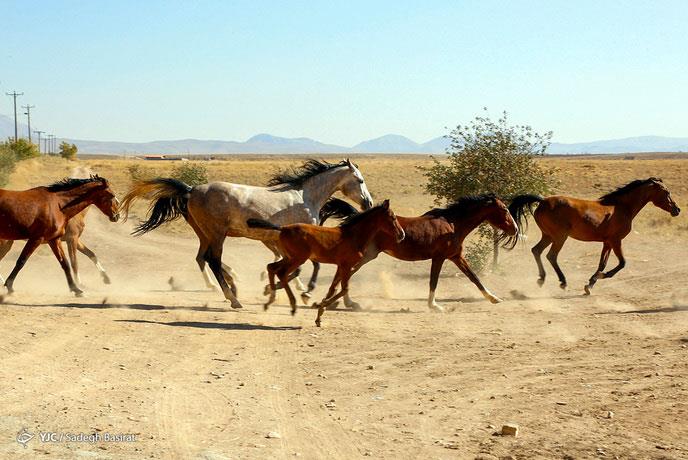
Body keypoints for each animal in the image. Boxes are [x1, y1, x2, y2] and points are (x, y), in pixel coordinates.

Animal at [121, 159, 374, 310]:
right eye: (360, 180)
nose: (368, 203)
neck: (305, 197)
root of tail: (191, 190)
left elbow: (295, 268)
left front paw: (277, 288)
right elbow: (307, 267)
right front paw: (302, 293)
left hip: (205, 233)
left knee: (203, 258)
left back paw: (231, 288)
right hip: (217, 233)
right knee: (213, 260)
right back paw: (233, 298)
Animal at [250, 200, 406, 328]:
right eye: (392, 218)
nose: (402, 235)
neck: (353, 236)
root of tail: (283, 228)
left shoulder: (340, 266)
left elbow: (332, 289)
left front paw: (319, 315)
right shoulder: (346, 266)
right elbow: (344, 289)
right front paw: (320, 308)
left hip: (289, 257)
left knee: (271, 267)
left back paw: (269, 301)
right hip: (297, 259)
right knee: (281, 273)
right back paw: (292, 306)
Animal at [318, 192, 516, 310]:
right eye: (504, 209)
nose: (515, 229)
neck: (453, 224)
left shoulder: (456, 257)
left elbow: (474, 277)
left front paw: (494, 298)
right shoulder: (439, 258)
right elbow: (433, 281)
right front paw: (434, 306)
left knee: (344, 274)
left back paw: (339, 301)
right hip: (366, 256)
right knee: (344, 274)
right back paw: (343, 302)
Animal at [508, 178, 680, 292]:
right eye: (666, 192)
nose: (677, 210)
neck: (622, 207)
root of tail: (543, 201)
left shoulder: (607, 242)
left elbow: (602, 264)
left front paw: (590, 284)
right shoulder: (616, 241)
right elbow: (622, 263)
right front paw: (600, 277)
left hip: (548, 236)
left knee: (536, 250)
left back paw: (541, 279)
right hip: (559, 237)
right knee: (551, 256)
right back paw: (562, 282)